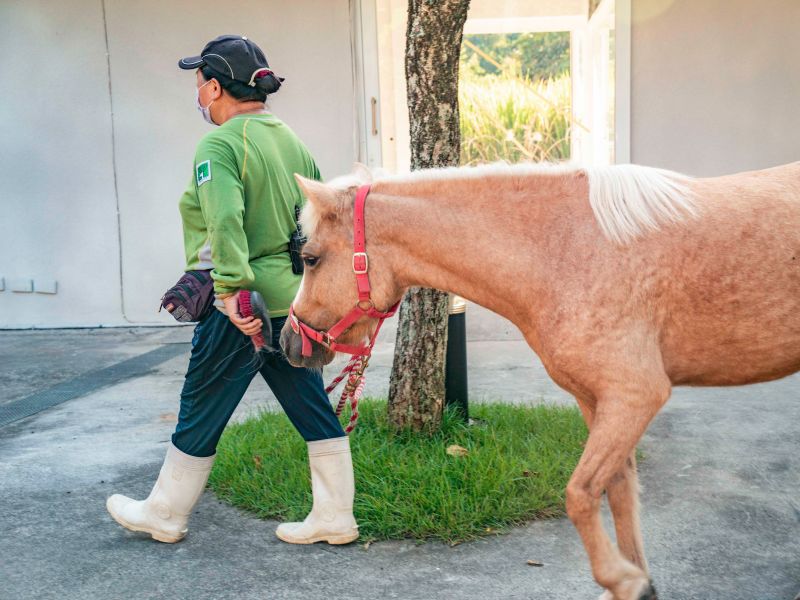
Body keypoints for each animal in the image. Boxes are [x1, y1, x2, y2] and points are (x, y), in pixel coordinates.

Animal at [278, 159, 796, 600]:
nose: (287, 342)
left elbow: (580, 495)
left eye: (311, 258)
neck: (566, 249)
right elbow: (618, 491)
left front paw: (622, 579)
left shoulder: (634, 396)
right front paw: (637, 581)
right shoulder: (597, 401)